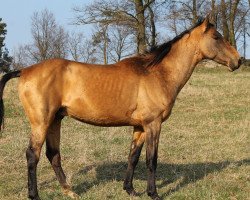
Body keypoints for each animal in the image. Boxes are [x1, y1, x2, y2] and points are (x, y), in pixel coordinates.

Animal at [0, 16, 242, 200]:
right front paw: (153, 193)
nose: (238, 60)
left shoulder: (140, 127)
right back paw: (35, 195)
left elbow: (133, 157)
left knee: (53, 155)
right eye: (216, 37)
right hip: (41, 122)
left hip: (55, 121)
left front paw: (131, 190)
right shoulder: (153, 124)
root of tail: (25, 70)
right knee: (33, 155)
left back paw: (69, 191)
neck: (158, 73)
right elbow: (151, 160)